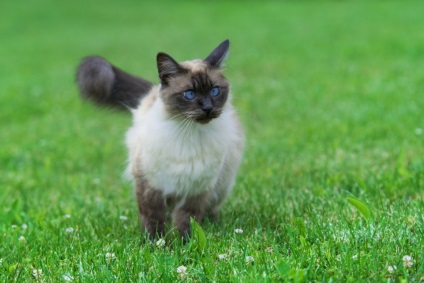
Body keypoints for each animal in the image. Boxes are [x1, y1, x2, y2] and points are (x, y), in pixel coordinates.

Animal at [74, 40, 243, 240]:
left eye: (215, 91)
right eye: (190, 94)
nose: (208, 108)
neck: (190, 133)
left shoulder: (197, 188)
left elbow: (186, 219)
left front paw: (183, 242)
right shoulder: (150, 185)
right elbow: (152, 217)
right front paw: (154, 242)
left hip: (221, 186)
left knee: (210, 209)